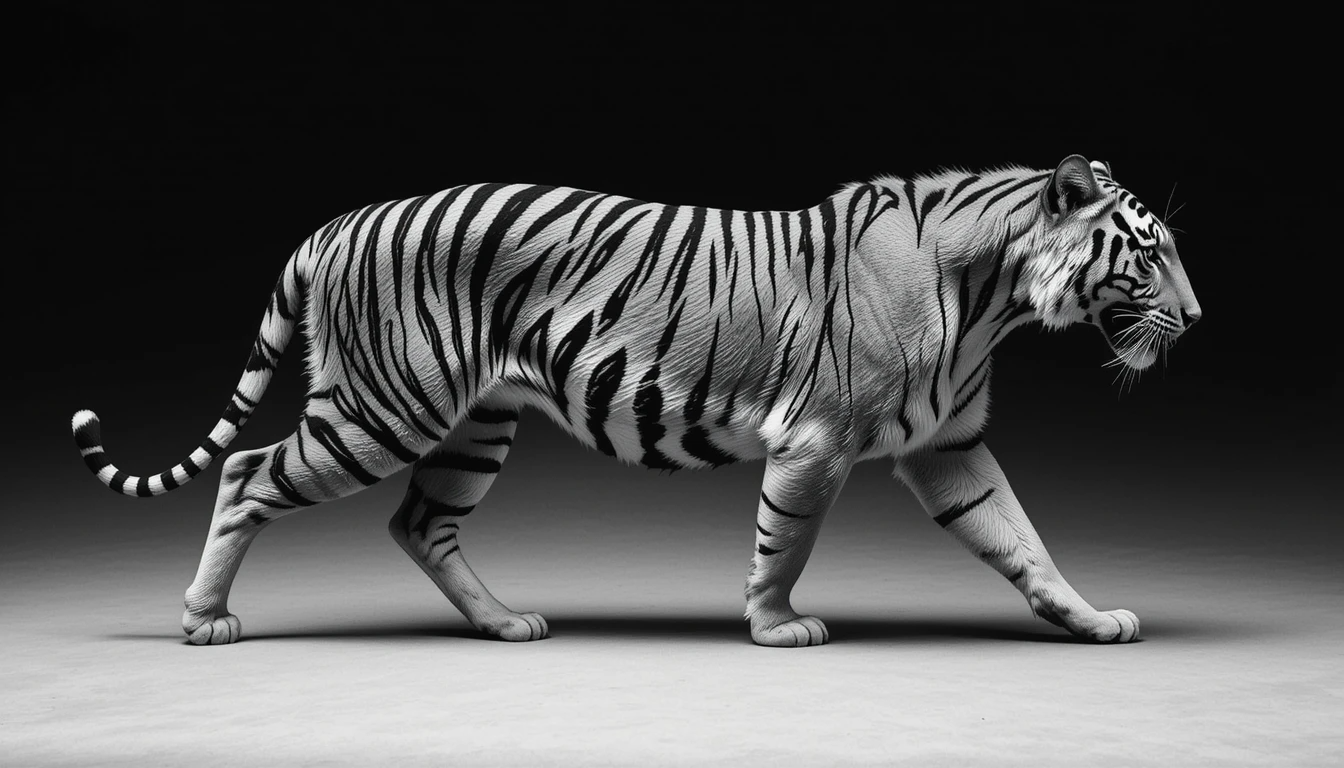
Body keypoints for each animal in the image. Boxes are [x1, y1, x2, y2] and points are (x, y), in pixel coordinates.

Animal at [71, 154, 1201, 647]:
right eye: (1148, 253)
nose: (1195, 317)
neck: (994, 300)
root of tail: (331, 225)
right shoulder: (817, 443)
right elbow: (785, 540)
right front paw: (776, 627)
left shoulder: (950, 447)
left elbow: (1022, 540)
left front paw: (1091, 619)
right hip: (382, 411)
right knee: (243, 472)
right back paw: (204, 619)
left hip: (473, 425)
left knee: (419, 523)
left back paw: (507, 624)